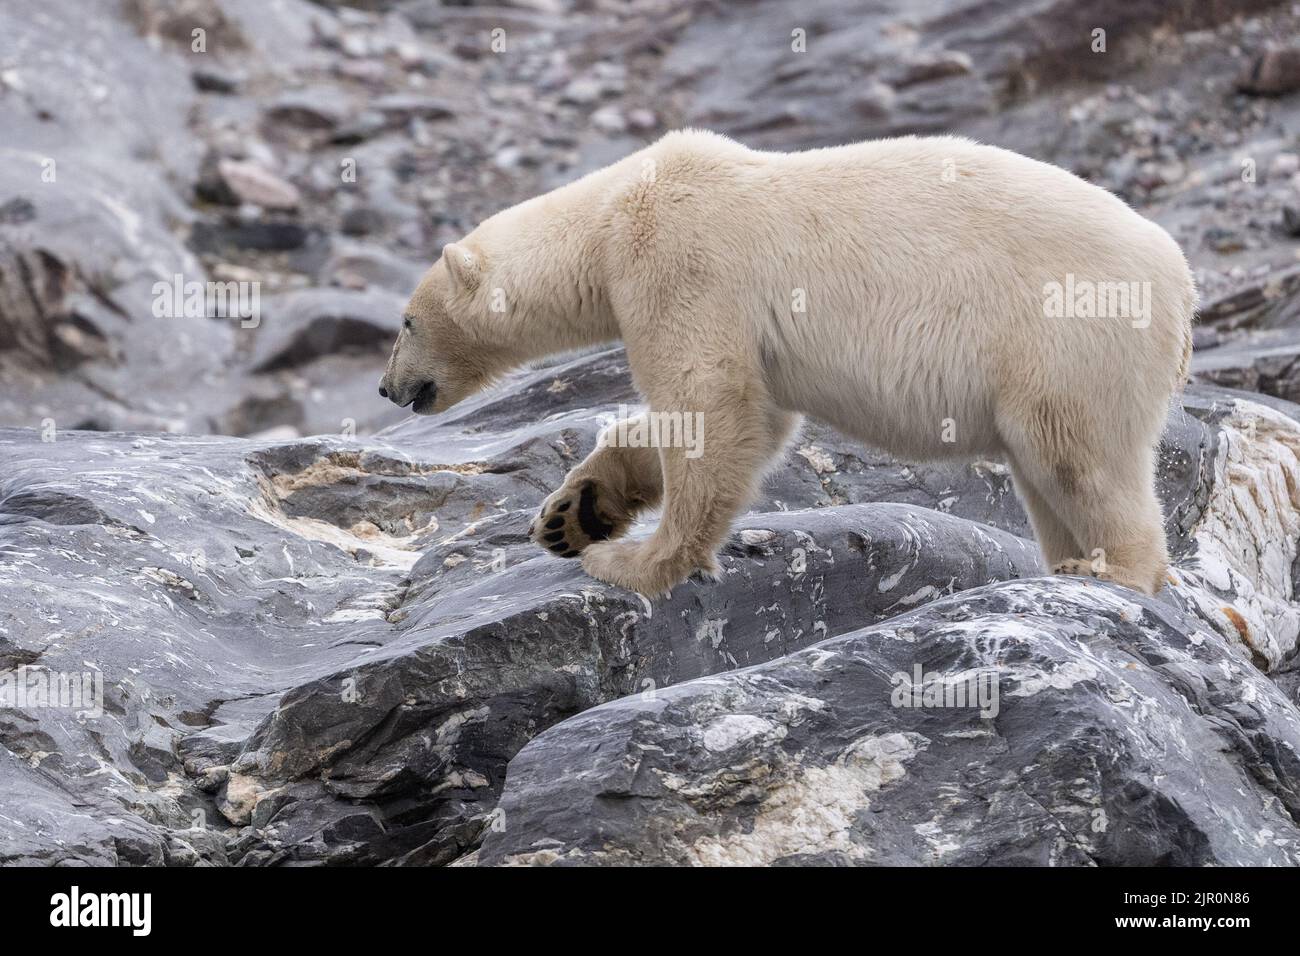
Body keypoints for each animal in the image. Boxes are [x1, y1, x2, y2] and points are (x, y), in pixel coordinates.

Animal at [379, 128, 1196, 598]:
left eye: (406, 320)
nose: (388, 388)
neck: (609, 214)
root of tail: (1181, 280)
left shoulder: (679, 262)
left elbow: (708, 403)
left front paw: (637, 562)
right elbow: (747, 418)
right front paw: (570, 515)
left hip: (1066, 334)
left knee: (1076, 455)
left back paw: (1112, 569)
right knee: (1044, 473)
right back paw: (1066, 561)